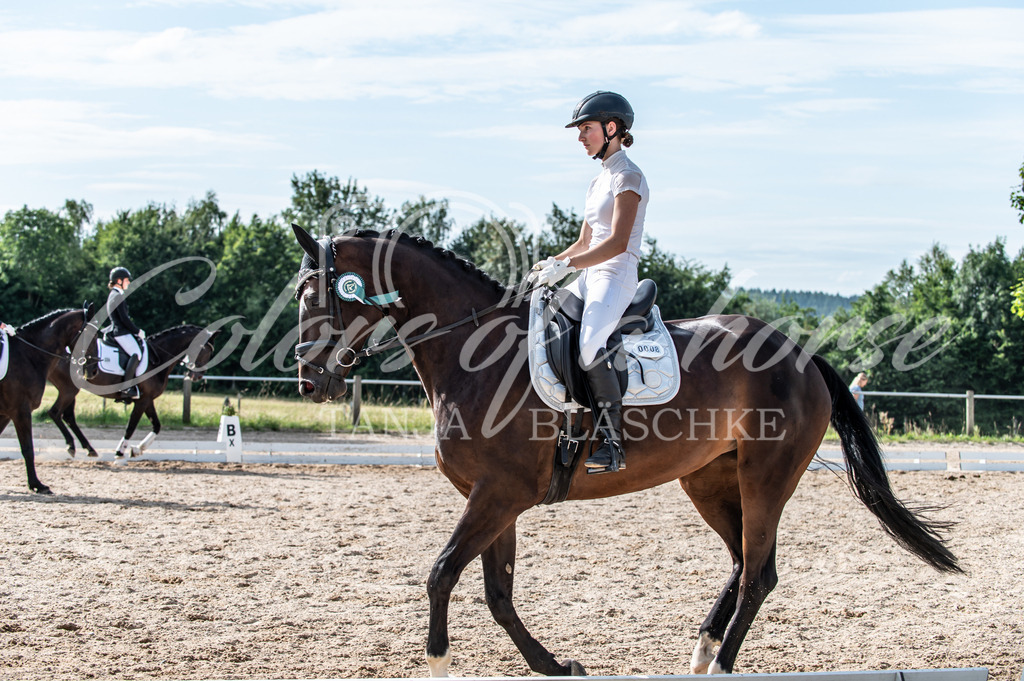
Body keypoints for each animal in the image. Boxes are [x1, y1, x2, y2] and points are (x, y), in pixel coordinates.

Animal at [0, 307, 89, 493]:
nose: (92, 370)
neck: (29, 355)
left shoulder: (6, 414)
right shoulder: (21, 411)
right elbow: (28, 449)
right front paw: (36, 485)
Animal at [50, 323, 216, 456]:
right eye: (206, 351)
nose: (197, 376)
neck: (158, 358)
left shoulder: (148, 400)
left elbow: (157, 425)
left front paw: (138, 449)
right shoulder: (142, 401)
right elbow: (131, 427)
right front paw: (120, 452)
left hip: (71, 390)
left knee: (68, 416)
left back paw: (87, 448)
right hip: (69, 389)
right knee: (56, 413)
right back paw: (74, 446)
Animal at [292, 225, 962, 675]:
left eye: (315, 296)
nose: (309, 382)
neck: (473, 354)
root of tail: (801, 354)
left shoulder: (499, 493)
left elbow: (442, 574)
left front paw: (438, 662)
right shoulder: (497, 498)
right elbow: (497, 593)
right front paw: (556, 666)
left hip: (766, 477)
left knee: (759, 573)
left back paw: (721, 665)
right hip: (708, 480)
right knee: (741, 561)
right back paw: (702, 652)